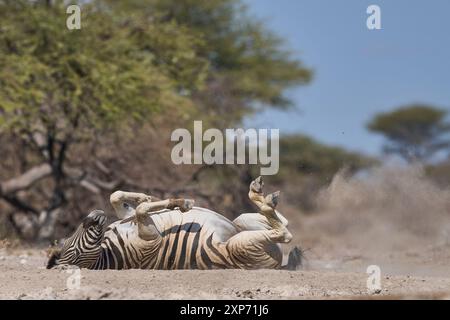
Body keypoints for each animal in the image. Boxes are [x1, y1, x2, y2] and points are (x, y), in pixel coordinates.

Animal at [46, 178, 302, 270]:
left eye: (67, 240)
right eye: (74, 252)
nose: (90, 217)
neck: (108, 250)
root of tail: (279, 265)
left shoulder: (128, 218)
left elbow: (117, 197)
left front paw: (146, 197)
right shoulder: (150, 238)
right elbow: (140, 210)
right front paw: (181, 202)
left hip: (240, 222)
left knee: (282, 221)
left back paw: (261, 195)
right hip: (239, 245)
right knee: (284, 234)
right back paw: (264, 200)